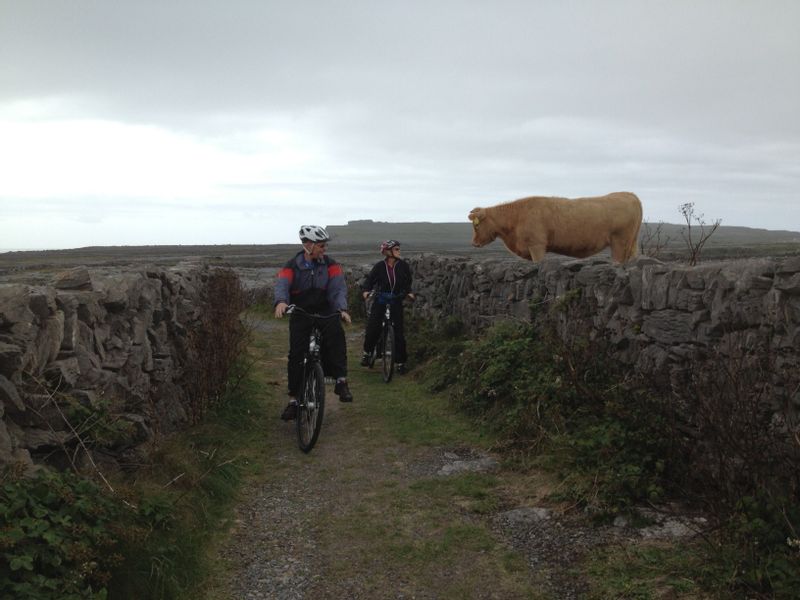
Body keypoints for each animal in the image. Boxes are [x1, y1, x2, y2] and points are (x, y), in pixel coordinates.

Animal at [468, 192, 644, 262]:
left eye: (476, 226)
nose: (474, 243)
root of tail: (628, 194)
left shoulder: (537, 246)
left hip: (620, 242)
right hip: (633, 242)